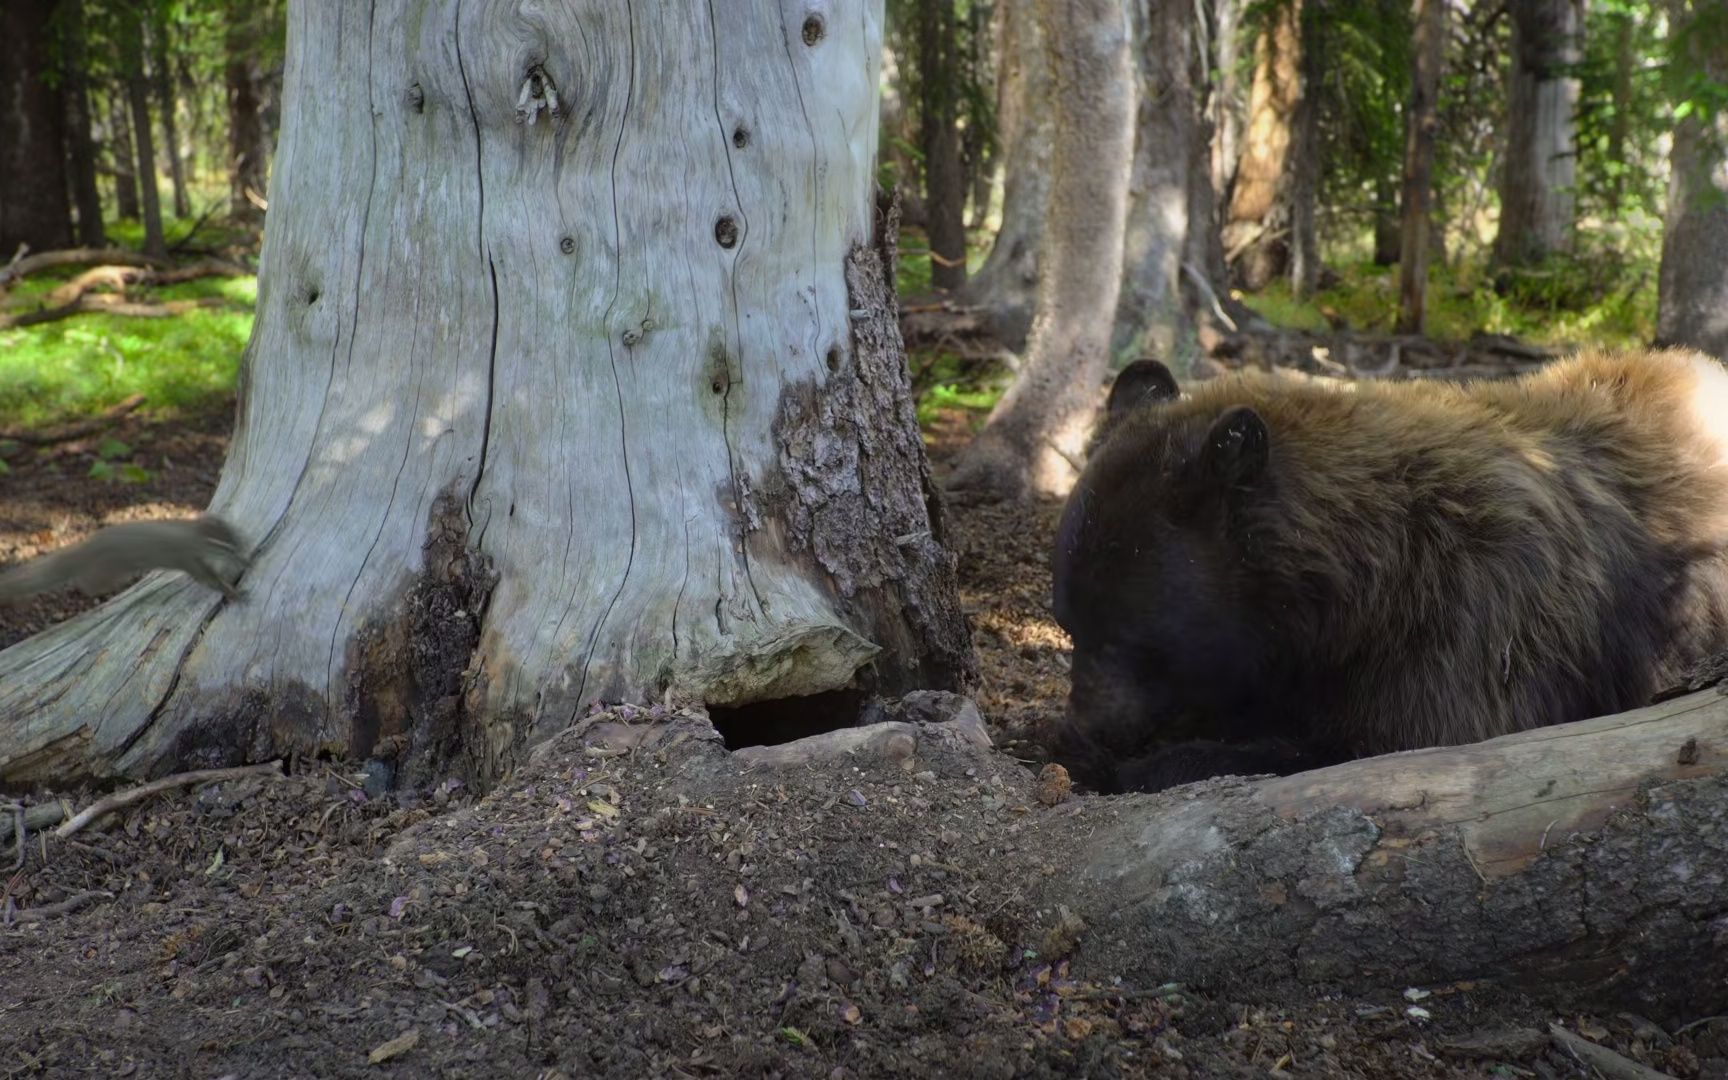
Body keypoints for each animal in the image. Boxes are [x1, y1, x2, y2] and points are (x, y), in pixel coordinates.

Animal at [1043, 347, 1728, 791]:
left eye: (1126, 636)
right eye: (1069, 623)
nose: (1090, 726)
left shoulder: (1480, 621)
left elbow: (1394, 743)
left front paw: (1125, 762)